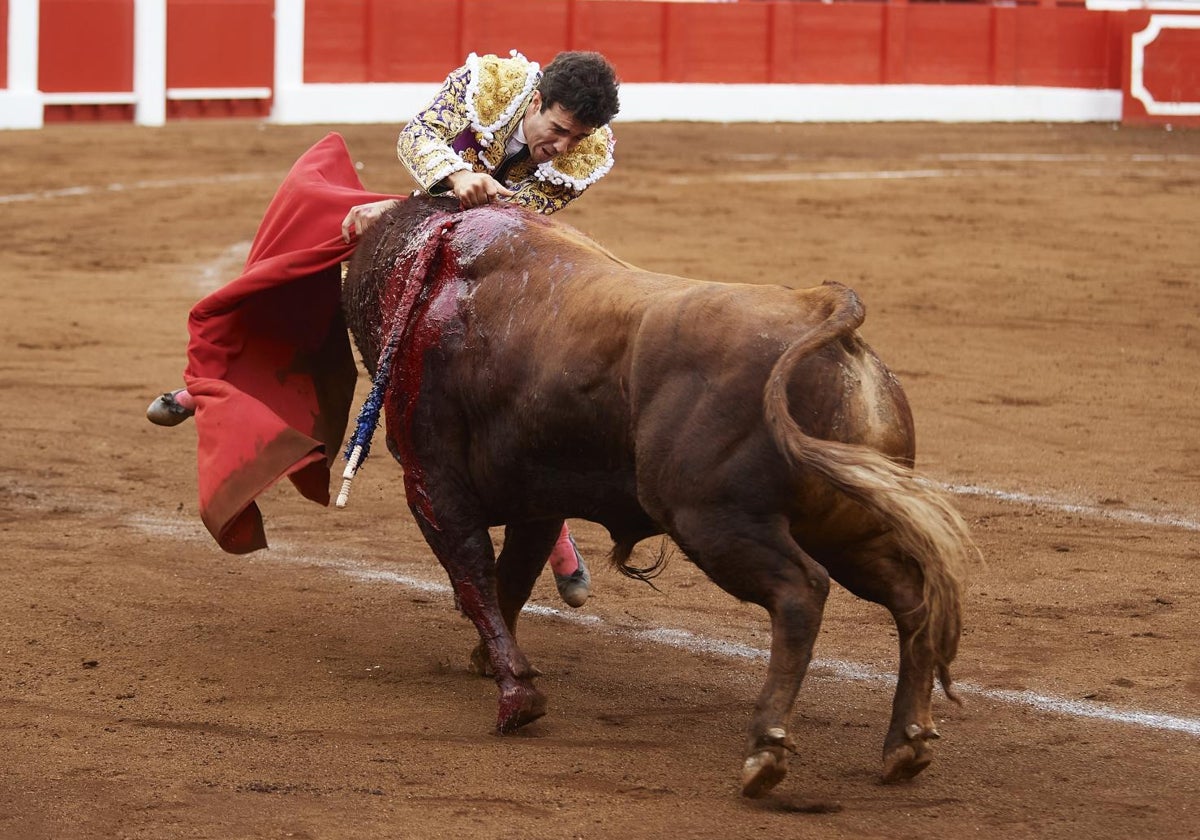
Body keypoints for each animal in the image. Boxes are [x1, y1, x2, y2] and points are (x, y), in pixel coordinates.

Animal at [338, 193, 974, 796]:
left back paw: (765, 749)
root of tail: (818, 308)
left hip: (714, 520)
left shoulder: (433, 487)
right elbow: (508, 580)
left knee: (801, 592)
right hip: (849, 526)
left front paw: (517, 697)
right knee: (911, 597)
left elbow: (475, 578)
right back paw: (905, 744)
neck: (433, 282)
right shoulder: (538, 502)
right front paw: (490, 665)